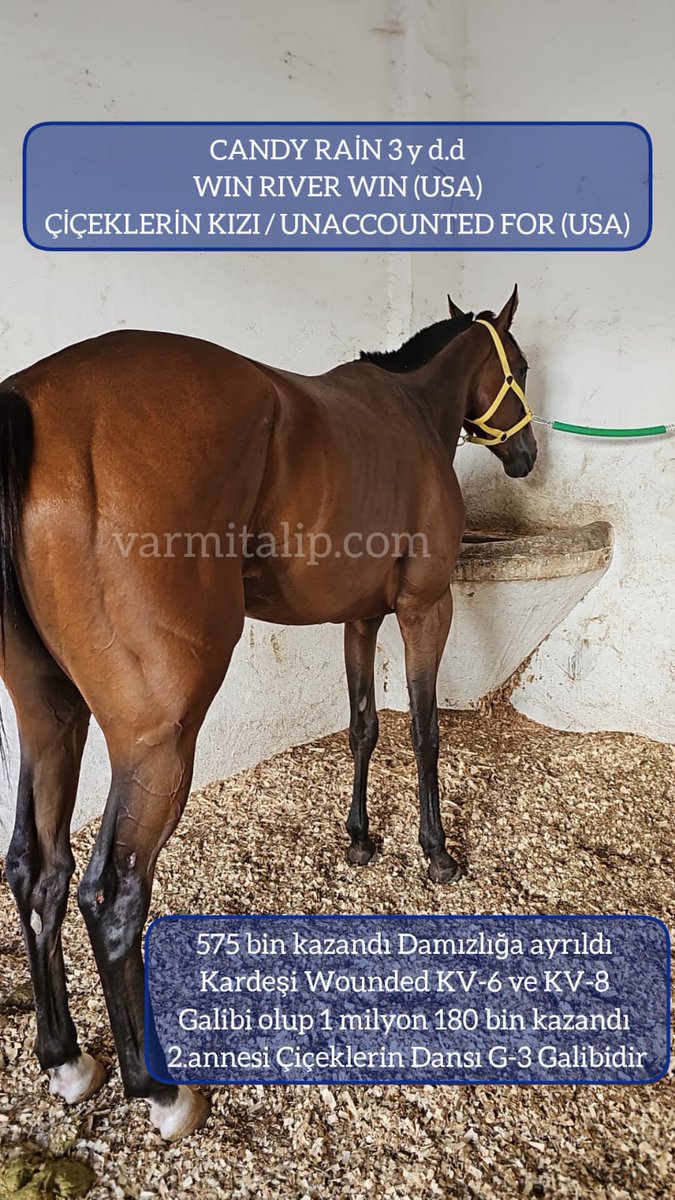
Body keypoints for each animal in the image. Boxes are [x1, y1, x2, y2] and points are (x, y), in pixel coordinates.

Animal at [0, 286, 535, 1138]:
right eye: (516, 364)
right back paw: (160, 1090)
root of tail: (32, 401)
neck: (411, 411)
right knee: (109, 898)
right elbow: (423, 730)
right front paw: (435, 853)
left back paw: (65, 1058)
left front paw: (360, 839)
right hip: (155, 741)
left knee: (36, 870)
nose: (526, 458)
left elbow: (363, 726)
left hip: (50, 718)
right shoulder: (425, 606)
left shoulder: (360, 617)